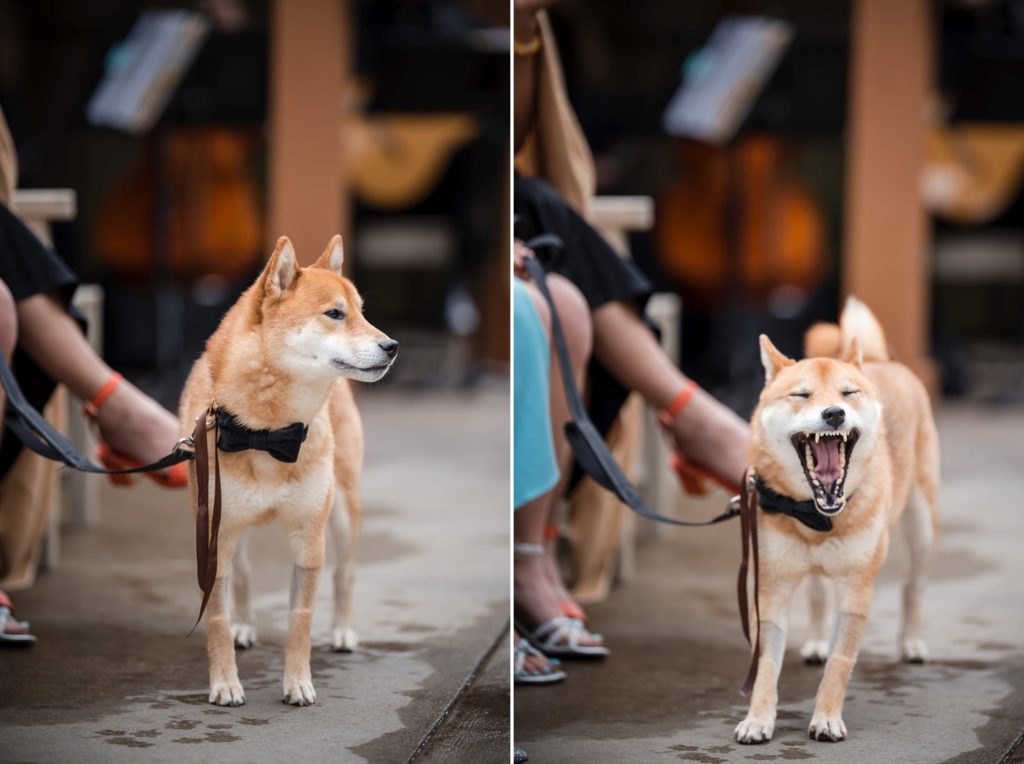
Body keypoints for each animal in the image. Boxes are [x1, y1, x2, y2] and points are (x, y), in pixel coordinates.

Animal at [180, 235, 395, 704]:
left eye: (362, 312)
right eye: (335, 314)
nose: (391, 346)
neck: (266, 431)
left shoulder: (308, 537)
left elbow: (301, 618)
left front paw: (297, 682)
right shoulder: (214, 537)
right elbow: (217, 619)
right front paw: (225, 682)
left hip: (344, 511)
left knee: (346, 574)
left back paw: (344, 631)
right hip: (234, 527)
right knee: (242, 576)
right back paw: (245, 626)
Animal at [733, 296, 937, 737]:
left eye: (848, 392)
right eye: (801, 395)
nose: (834, 414)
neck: (816, 515)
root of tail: (880, 361)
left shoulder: (856, 590)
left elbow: (839, 665)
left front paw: (826, 717)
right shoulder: (771, 589)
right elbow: (766, 665)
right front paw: (758, 718)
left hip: (923, 527)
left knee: (913, 587)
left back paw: (912, 642)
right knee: (816, 591)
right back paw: (815, 642)